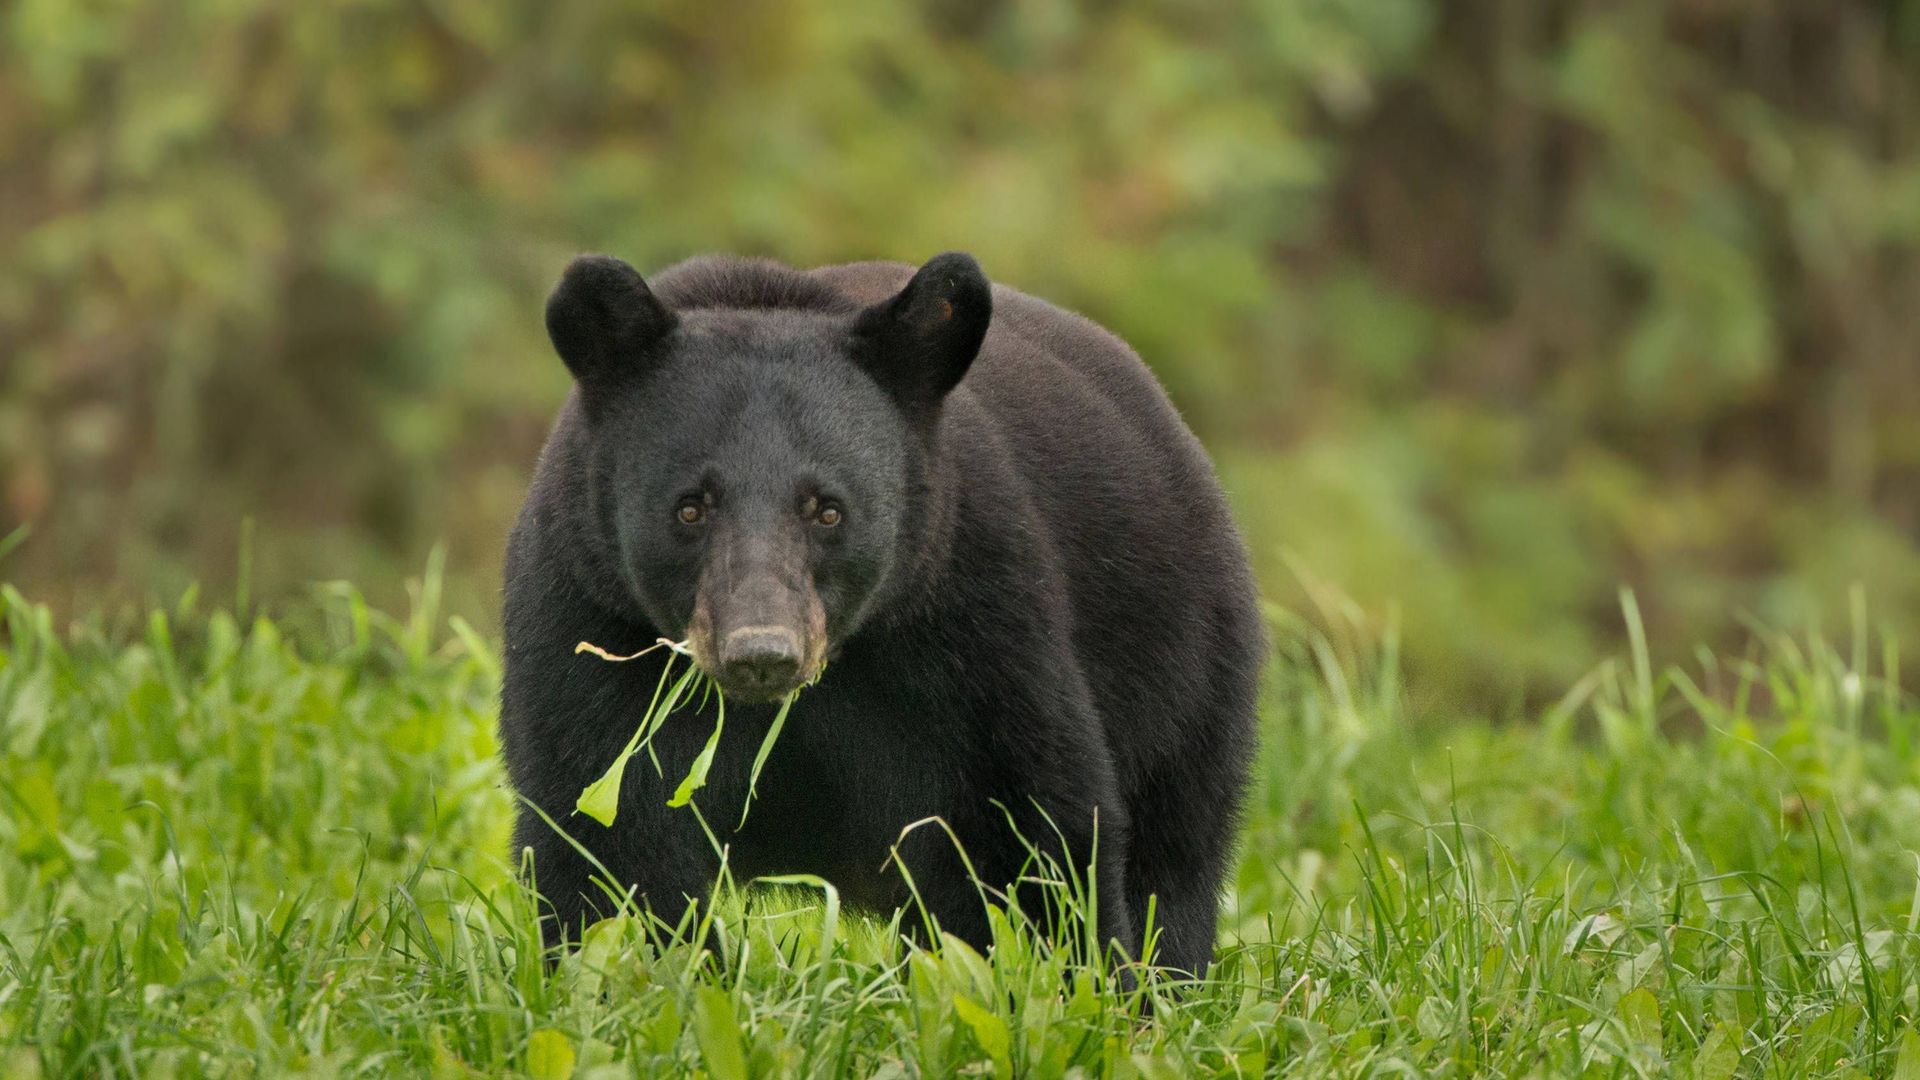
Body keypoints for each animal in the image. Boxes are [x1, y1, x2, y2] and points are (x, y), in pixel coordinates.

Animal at [500, 250, 1262, 978]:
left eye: (827, 509)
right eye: (691, 507)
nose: (761, 653)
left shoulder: (970, 623)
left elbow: (1025, 830)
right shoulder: (589, 620)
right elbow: (610, 836)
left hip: (1183, 664)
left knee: (1176, 856)